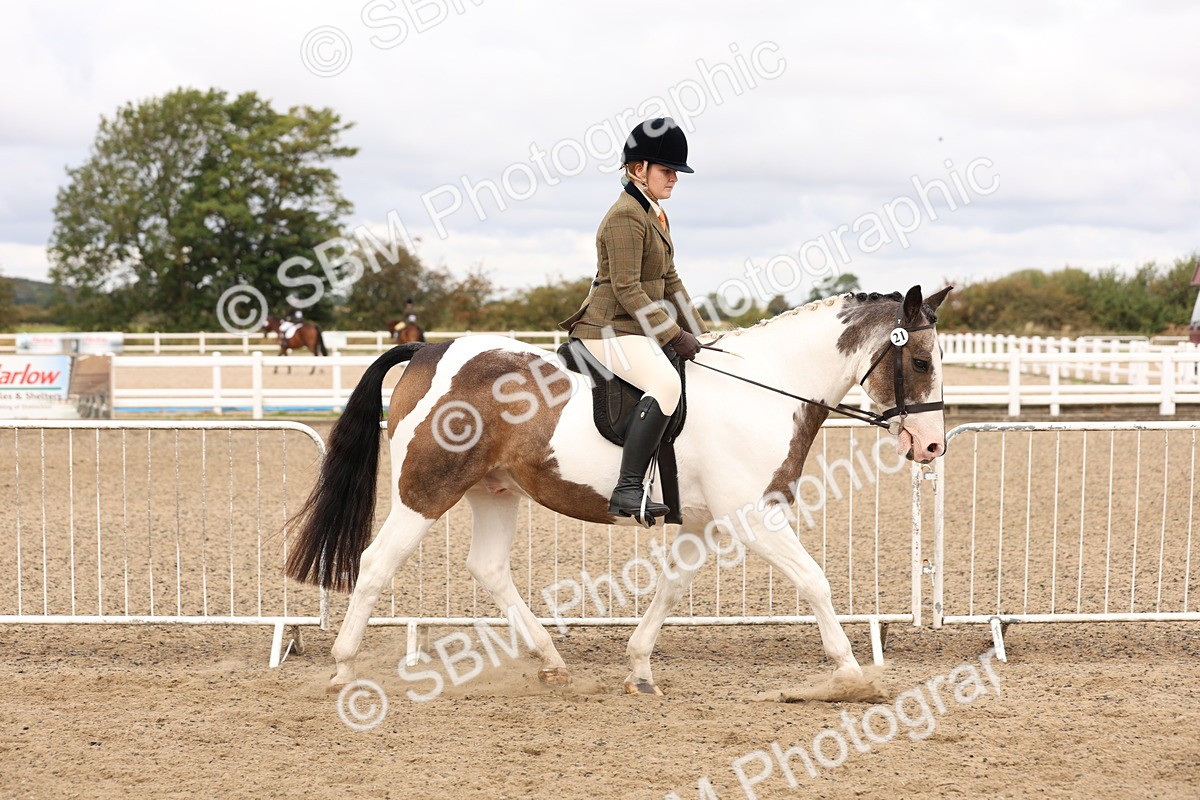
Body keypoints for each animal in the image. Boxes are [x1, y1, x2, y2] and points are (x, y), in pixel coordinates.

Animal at [285, 285, 951, 697]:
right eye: (920, 362)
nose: (930, 447)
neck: (762, 388)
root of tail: (429, 347)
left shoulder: (704, 522)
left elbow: (673, 587)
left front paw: (638, 668)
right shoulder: (752, 517)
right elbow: (815, 581)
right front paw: (852, 676)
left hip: (495, 489)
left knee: (488, 567)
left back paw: (551, 662)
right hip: (427, 488)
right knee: (376, 562)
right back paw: (342, 670)